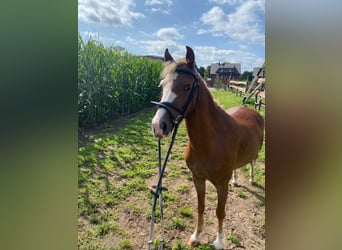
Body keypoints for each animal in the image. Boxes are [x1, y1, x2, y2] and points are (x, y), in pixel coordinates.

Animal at [150, 46, 264, 248]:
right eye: (162, 85)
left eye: (187, 87)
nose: (158, 126)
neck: (210, 142)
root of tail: (252, 110)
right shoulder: (198, 178)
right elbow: (200, 206)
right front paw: (196, 237)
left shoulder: (221, 185)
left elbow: (220, 212)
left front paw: (218, 242)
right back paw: (236, 180)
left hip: (255, 152)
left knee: (252, 162)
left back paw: (251, 179)